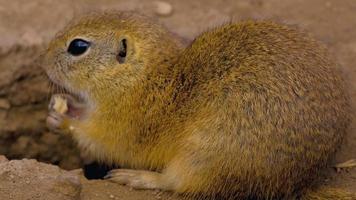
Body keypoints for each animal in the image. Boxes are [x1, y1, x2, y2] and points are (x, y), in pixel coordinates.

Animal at [41, 11, 354, 199]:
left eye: (78, 47)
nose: (43, 59)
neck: (141, 77)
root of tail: (298, 183)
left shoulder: (122, 127)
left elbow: (99, 141)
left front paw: (62, 119)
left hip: (204, 154)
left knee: (177, 183)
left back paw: (138, 178)